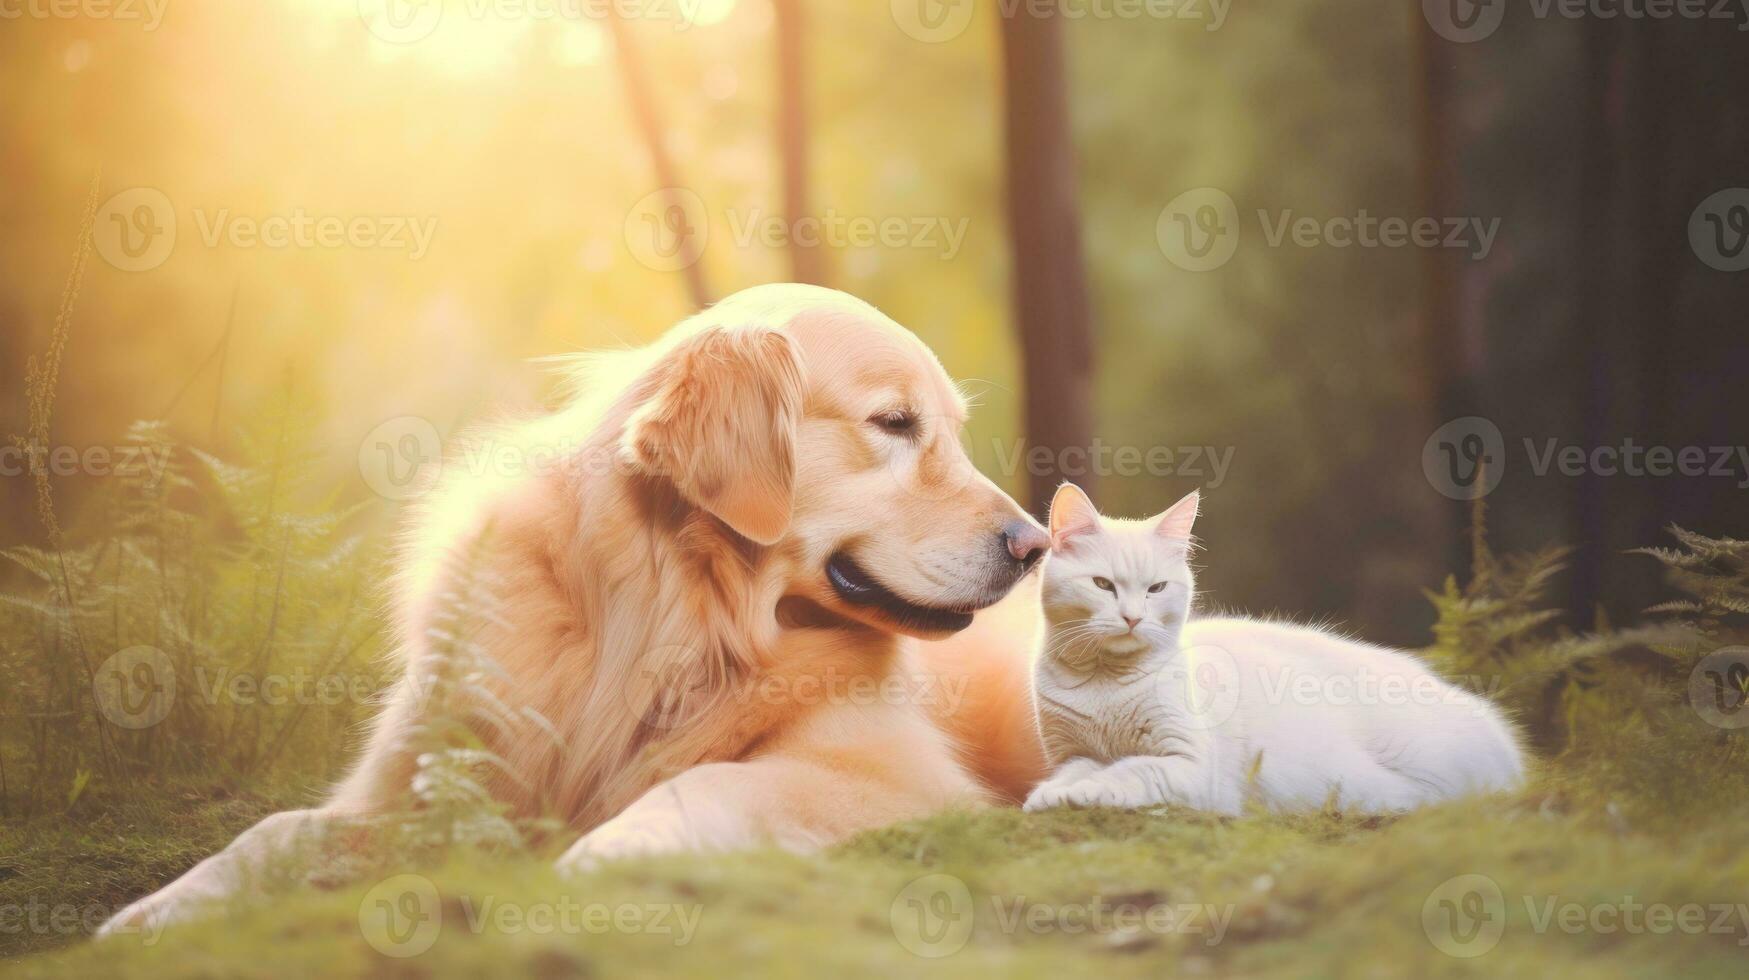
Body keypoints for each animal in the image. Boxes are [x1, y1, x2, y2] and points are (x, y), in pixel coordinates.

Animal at [102, 281, 1049, 931]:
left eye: (947, 429)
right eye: (893, 423)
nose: (1032, 544)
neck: (672, 619)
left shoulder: (886, 773)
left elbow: (707, 780)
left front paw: (605, 854)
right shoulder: (425, 783)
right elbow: (274, 832)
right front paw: (151, 914)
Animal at [1021, 486, 1525, 815]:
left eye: (1156, 589)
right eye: (1103, 585)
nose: (1131, 618)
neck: (1105, 683)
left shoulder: (1190, 766)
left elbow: (1127, 771)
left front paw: (1080, 793)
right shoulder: (1070, 753)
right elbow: (1073, 772)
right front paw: (1050, 794)